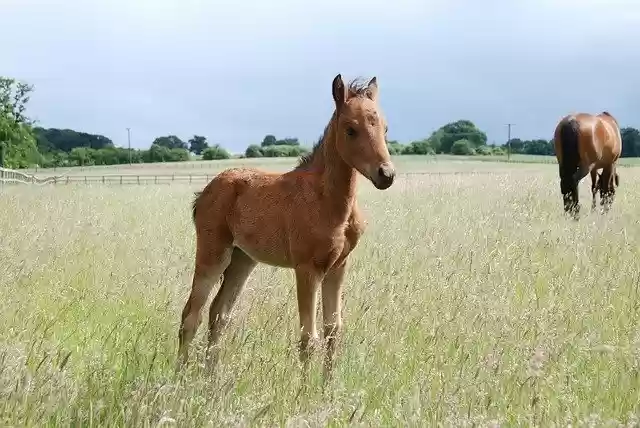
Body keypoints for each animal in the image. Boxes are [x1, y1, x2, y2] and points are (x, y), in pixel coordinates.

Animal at [178, 74, 395, 382]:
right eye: (351, 129)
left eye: (385, 128)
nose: (386, 175)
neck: (328, 200)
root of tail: (204, 192)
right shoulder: (307, 269)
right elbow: (308, 337)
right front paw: (304, 390)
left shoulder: (338, 267)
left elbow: (333, 331)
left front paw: (327, 387)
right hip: (213, 254)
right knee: (190, 315)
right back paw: (179, 380)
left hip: (242, 260)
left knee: (218, 314)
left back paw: (211, 379)